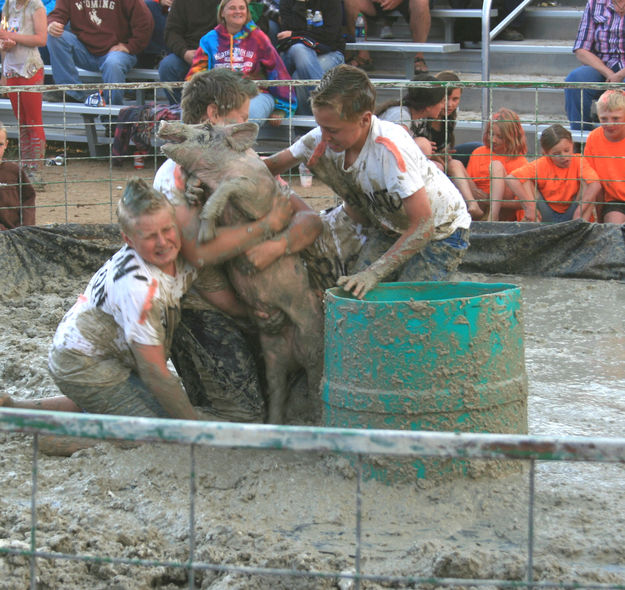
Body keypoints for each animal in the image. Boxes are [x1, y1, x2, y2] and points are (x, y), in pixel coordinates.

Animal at [156, 121, 324, 426]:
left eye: (206, 128)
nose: (163, 122)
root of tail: (292, 349)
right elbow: (197, 185)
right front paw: (194, 197)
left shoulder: (259, 191)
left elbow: (233, 186)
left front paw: (206, 231)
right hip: (272, 353)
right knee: (276, 388)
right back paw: (272, 425)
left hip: (312, 340)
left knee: (315, 380)